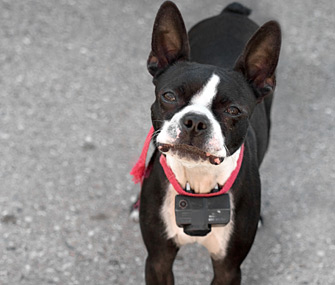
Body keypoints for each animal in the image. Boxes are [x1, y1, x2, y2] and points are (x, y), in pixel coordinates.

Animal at [131, 1, 280, 282]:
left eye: (233, 110)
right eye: (169, 96)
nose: (195, 121)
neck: (197, 181)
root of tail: (232, 12)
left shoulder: (228, 268)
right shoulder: (158, 260)